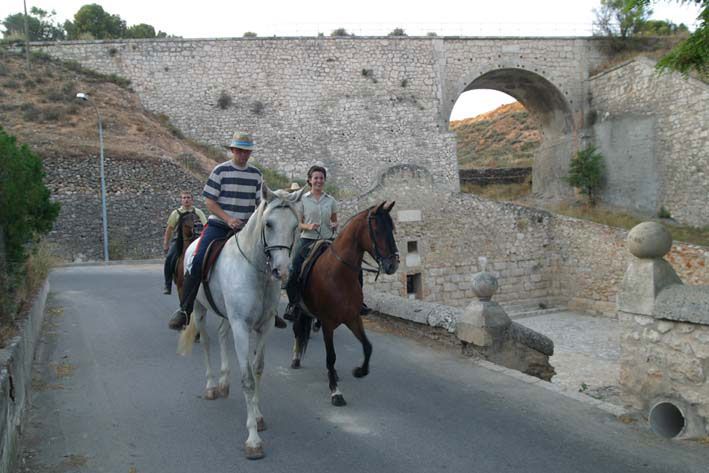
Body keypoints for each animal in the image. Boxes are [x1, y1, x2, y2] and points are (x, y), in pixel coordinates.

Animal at [177, 186, 302, 460]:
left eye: (296, 225)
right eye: (268, 223)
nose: (281, 271)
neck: (255, 270)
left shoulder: (264, 327)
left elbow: (258, 369)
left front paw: (258, 415)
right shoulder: (242, 327)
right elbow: (247, 379)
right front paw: (253, 439)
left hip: (226, 317)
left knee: (223, 335)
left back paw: (224, 383)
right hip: (200, 310)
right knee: (207, 343)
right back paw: (212, 386)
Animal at [290, 201, 398, 404]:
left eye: (392, 228)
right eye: (377, 230)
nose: (393, 265)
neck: (339, 274)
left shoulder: (353, 318)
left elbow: (368, 347)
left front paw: (360, 371)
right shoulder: (327, 323)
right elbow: (331, 356)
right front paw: (335, 392)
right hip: (299, 309)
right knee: (298, 330)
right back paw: (295, 358)